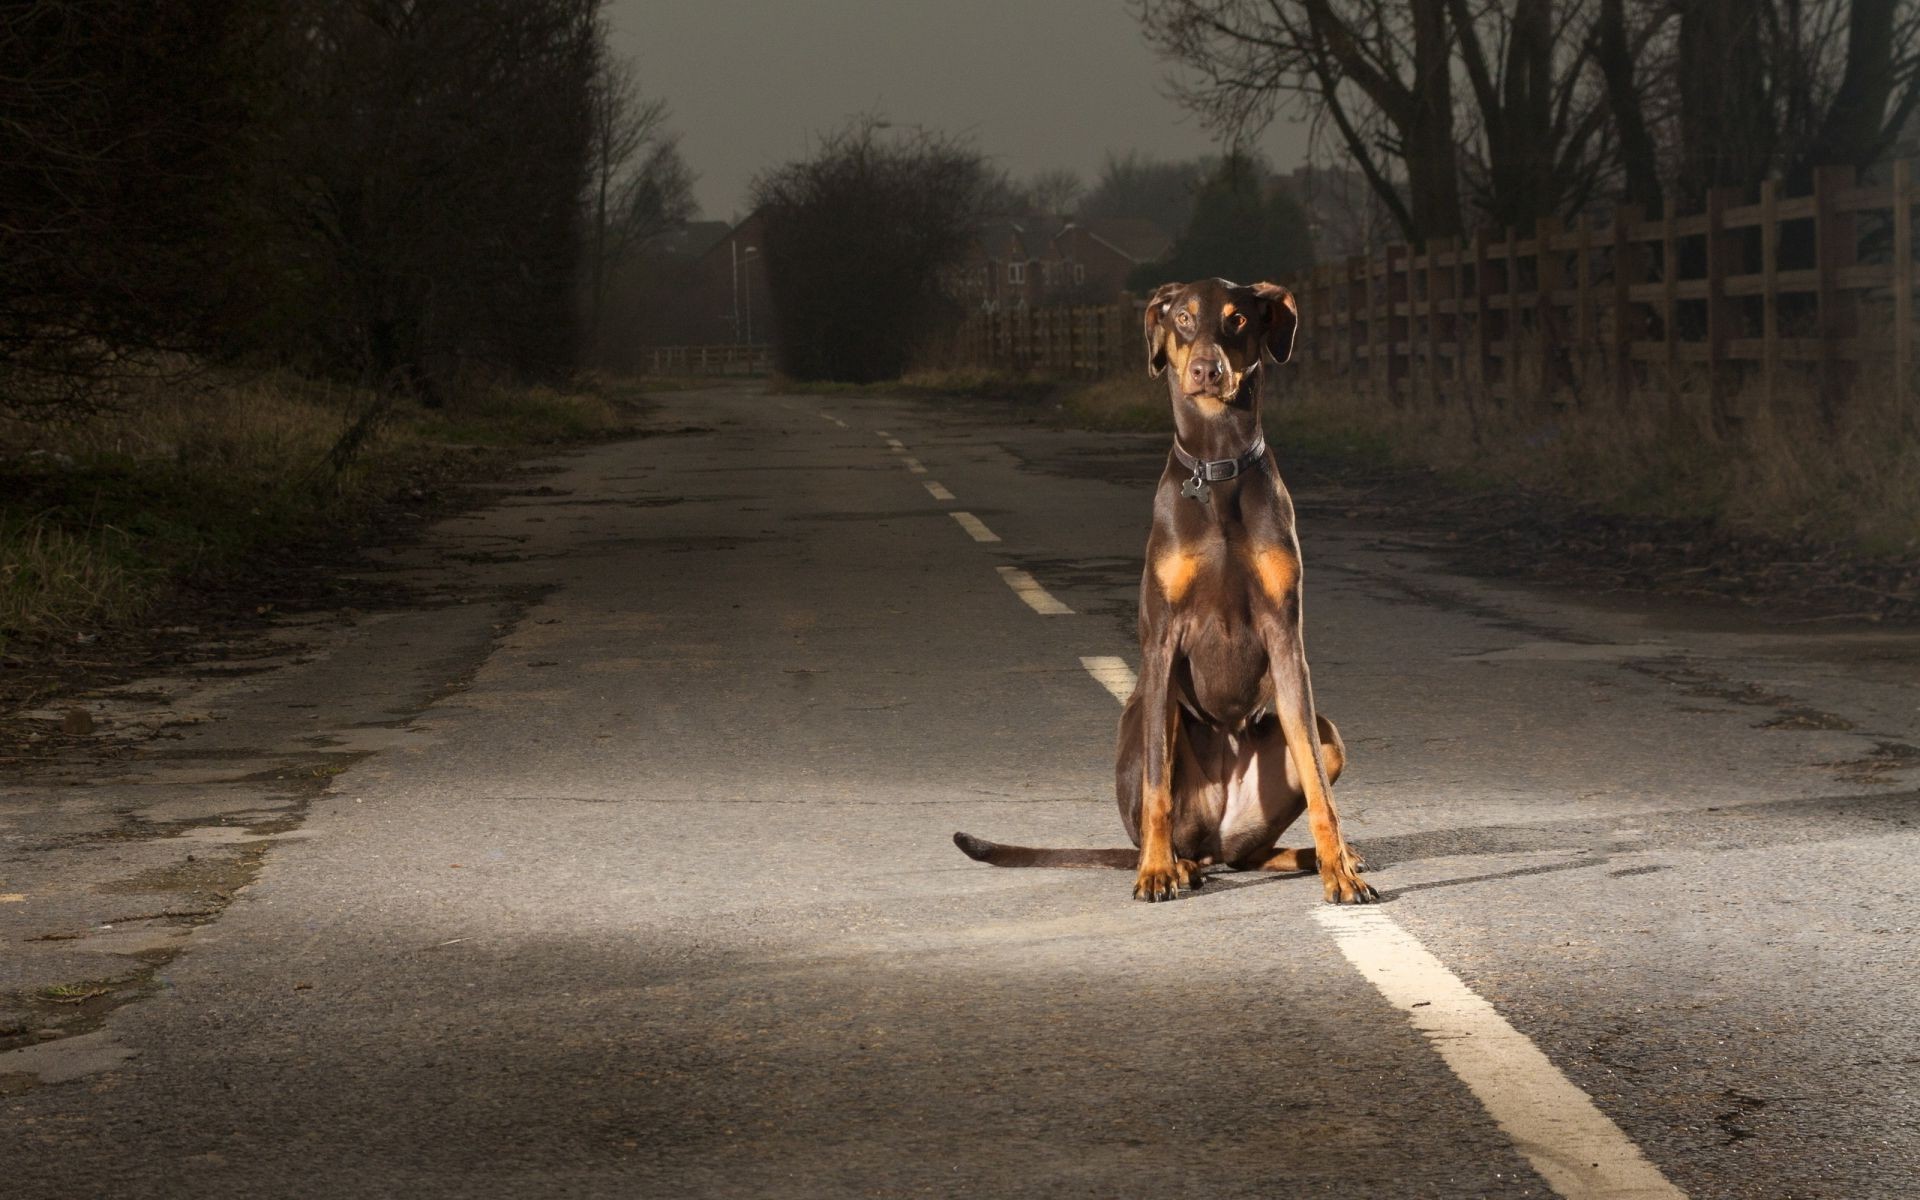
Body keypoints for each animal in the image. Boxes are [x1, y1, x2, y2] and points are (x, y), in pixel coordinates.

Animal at [960, 276, 1382, 902]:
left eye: (1237, 318)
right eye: (1182, 317)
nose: (1208, 369)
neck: (1217, 466)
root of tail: (1217, 836)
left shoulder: (1286, 638)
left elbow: (1317, 784)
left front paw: (1339, 868)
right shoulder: (1162, 642)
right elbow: (1158, 781)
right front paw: (1157, 871)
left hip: (1321, 746)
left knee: (1252, 851)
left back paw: (1316, 856)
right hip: (1143, 721)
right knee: (1177, 823)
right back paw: (1171, 862)